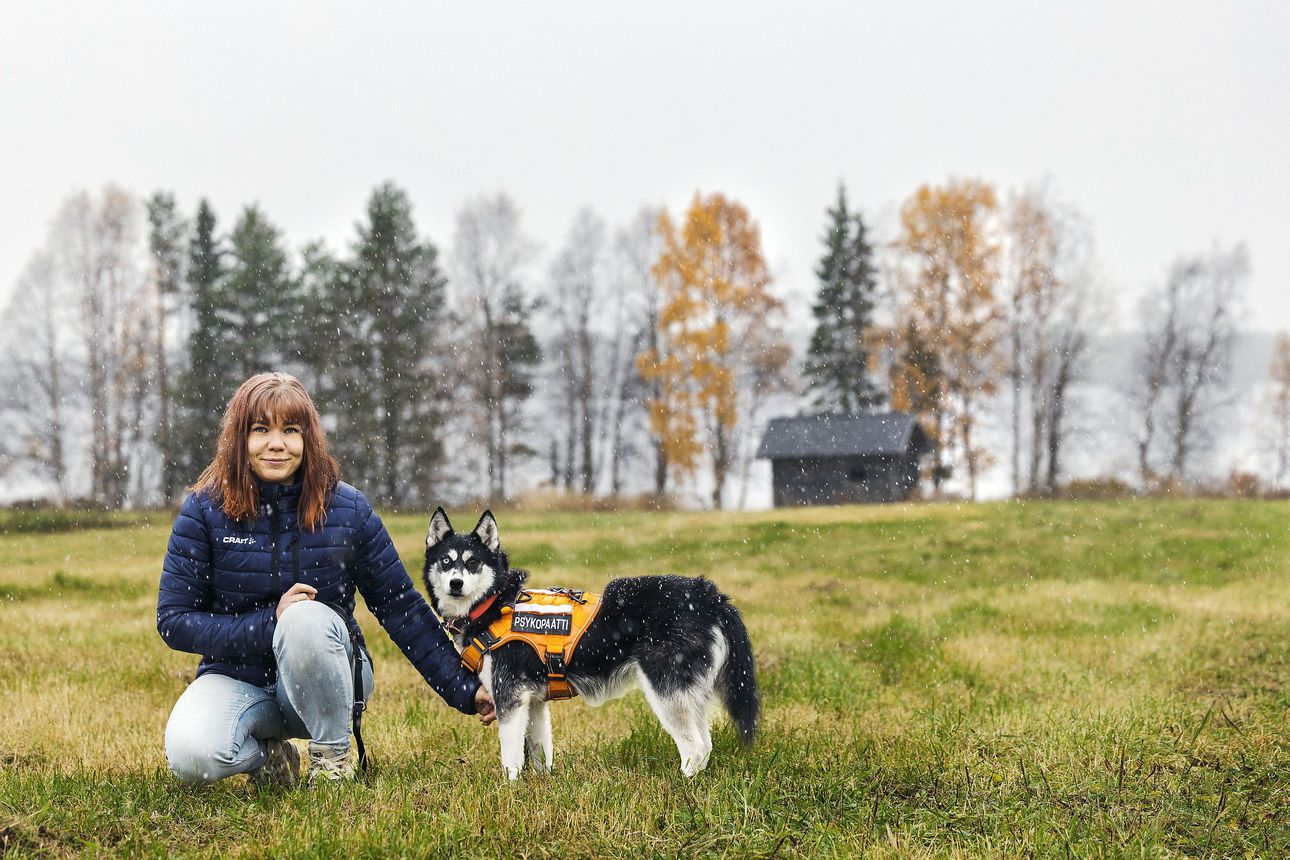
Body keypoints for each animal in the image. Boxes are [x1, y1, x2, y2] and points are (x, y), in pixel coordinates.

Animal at [428, 508, 758, 783]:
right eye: (446, 561)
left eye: (473, 562)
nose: (455, 583)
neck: (495, 605)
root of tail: (709, 596)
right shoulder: (533, 702)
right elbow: (540, 752)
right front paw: (544, 788)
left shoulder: (510, 698)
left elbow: (511, 758)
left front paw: (509, 790)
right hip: (691, 694)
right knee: (706, 743)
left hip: (667, 691)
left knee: (696, 746)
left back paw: (684, 784)